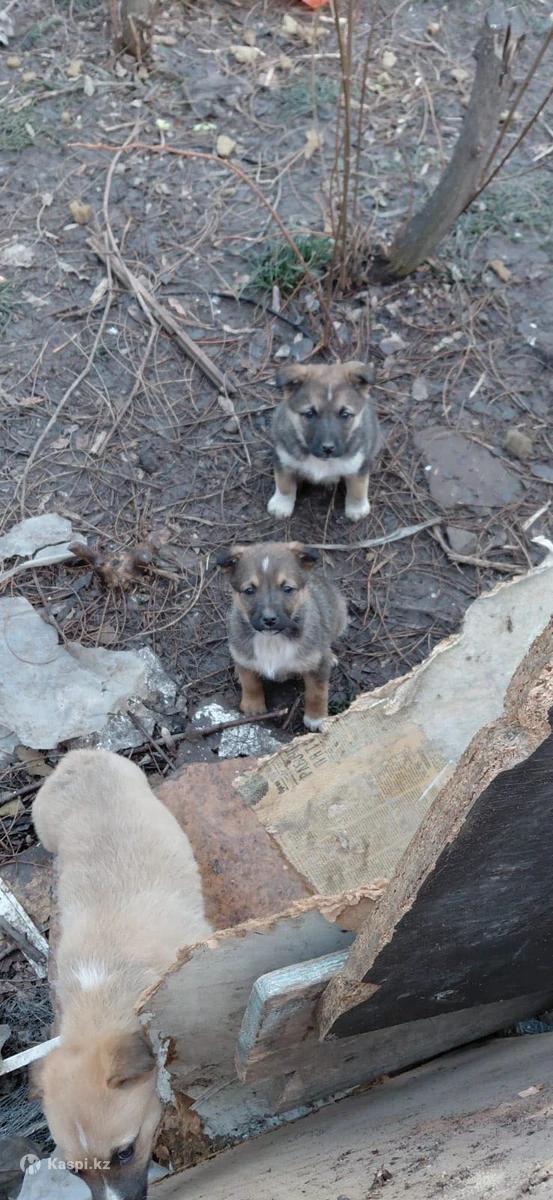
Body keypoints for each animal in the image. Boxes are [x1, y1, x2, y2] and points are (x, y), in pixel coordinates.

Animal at [217, 541, 347, 730]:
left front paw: (317, 718)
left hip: (339, 617)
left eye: (287, 589)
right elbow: (250, 683)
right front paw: (253, 707)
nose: (269, 619)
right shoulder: (242, 653)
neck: (272, 640)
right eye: (249, 590)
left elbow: (317, 692)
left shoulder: (317, 665)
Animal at [268, 360, 382, 522]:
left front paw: (357, 509)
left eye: (345, 414)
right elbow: (284, 484)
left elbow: (358, 488)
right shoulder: (283, 458)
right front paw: (281, 505)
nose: (328, 448)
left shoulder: (359, 464)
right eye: (310, 413)